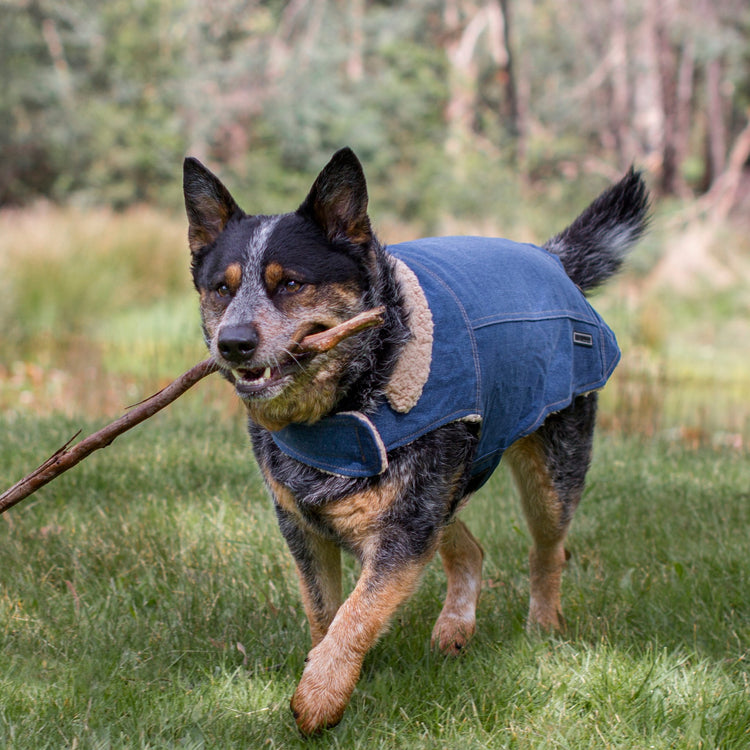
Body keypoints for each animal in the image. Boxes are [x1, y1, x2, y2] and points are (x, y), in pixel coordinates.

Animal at [184, 150, 652, 736]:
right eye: (222, 288)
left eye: (289, 283)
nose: (233, 343)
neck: (342, 408)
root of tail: (551, 258)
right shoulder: (303, 525)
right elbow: (323, 611)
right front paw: (324, 670)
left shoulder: (404, 529)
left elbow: (357, 613)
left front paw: (320, 696)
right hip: (445, 488)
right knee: (470, 549)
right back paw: (455, 626)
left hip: (543, 475)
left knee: (549, 550)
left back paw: (543, 625)